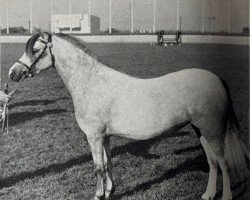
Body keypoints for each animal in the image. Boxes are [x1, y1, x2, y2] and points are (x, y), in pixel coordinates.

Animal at [8, 31, 247, 200]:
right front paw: (109, 192)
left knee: (223, 162)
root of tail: (216, 78)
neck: (92, 83)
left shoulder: (94, 136)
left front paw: (97, 195)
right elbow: (108, 164)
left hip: (213, 131)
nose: (13, 73)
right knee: (212, 161)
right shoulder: (104, 137)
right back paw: (208, 194)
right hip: (201, 131)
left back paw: (226, 196)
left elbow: (98, 167)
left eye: (35, 49)